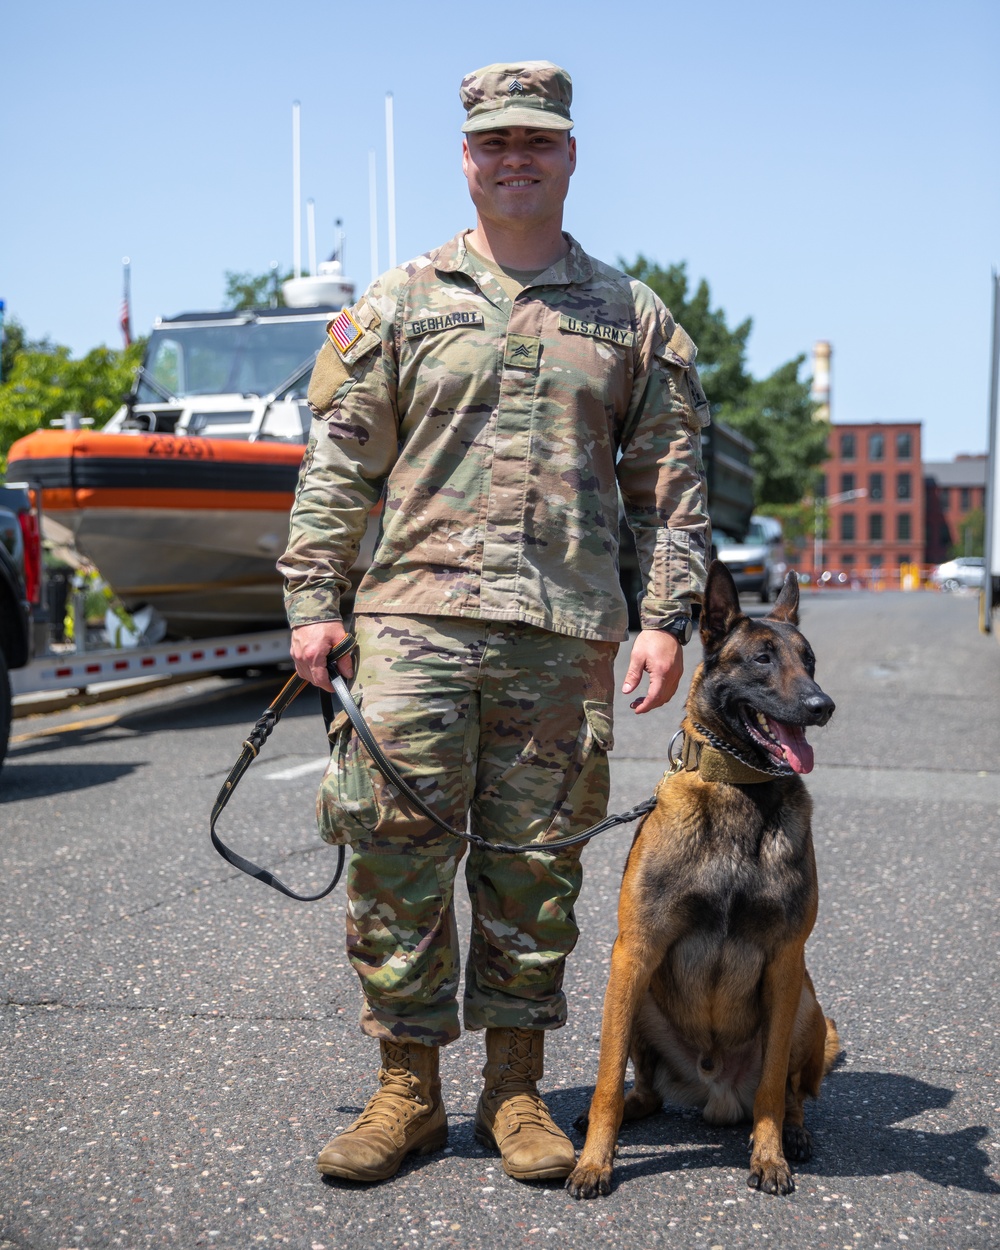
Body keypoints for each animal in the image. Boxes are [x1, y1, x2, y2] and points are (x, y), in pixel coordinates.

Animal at [567, 562, 840, 1195]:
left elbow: (773, 1087)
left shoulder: (786, 961)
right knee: (642, 1089)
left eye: (810, 660)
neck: (739, 790)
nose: (822, 705)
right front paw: (595, 1161)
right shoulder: (634, 950)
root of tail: (716, 1092)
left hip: (805, 1005)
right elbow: (607, 1081)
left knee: (793, 1093)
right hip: (635, 996)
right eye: (762, 658)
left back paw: (793, 1133)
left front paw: (768, 1155)